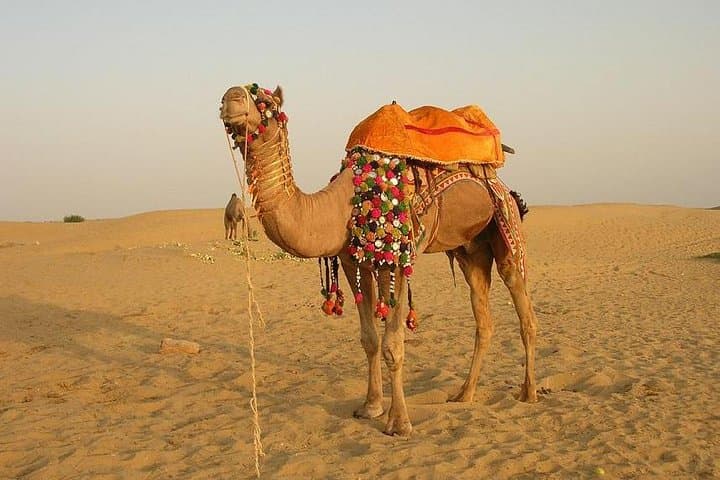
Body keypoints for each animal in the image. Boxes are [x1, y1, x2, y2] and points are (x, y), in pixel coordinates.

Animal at [220, 85, 538, 436]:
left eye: (266, 103)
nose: (231, 97)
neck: (345, 203)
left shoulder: (396, 259)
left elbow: (392, 344)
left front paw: (399, 422)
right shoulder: (353, 261)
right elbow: (369, 339)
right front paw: (370, 406)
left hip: (506, 225)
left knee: (524, 309)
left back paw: (529, 392)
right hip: (470, 250)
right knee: (484, 318)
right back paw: (464, 394)